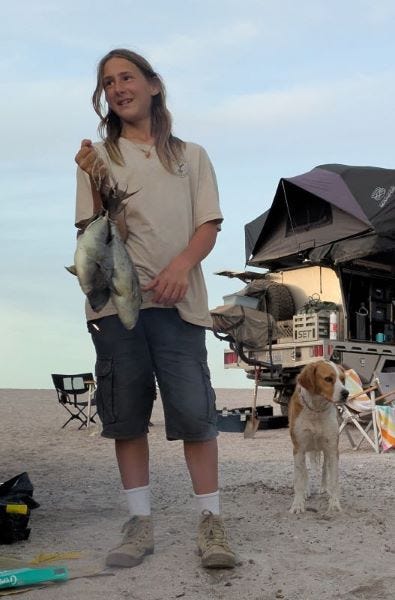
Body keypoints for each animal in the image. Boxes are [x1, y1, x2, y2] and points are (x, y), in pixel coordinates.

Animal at [288, 358, 350, 512]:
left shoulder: (332, 449)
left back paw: (325, 489)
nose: (346, 393)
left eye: (342, 379)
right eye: (328, 379)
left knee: (324, 470)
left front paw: (334, 503)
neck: (316, 410)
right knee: (304, 472)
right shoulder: (298, 449)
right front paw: (298, 504)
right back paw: (306, 491)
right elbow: (299, 479)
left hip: (325, 450)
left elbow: (333, 480)